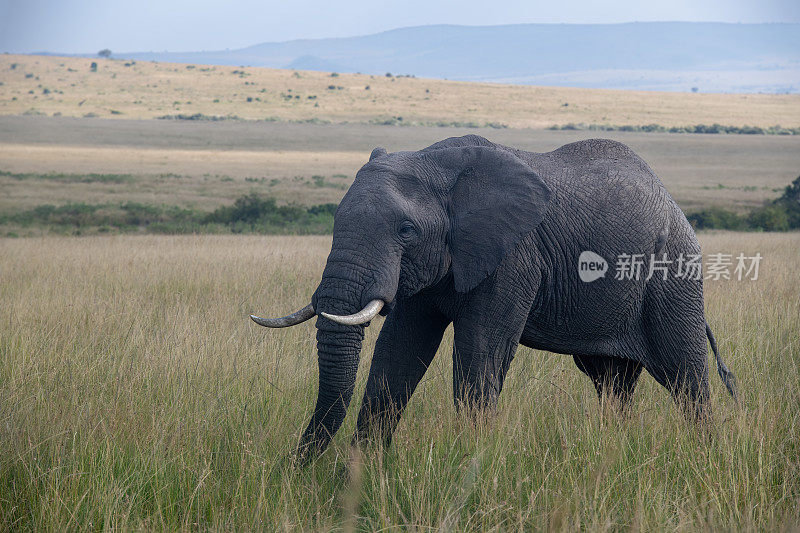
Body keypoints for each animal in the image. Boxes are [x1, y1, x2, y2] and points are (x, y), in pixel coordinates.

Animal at [250, 133, 736, 458]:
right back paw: (614, 451)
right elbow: (399, 350)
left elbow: (480, 347)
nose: (296, 467)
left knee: (686, 375)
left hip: (673, 278)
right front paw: (360, 470)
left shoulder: (514, 256)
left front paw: (471, 461)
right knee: (611, 381)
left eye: (406, 230)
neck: (439, 164)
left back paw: (706, 455)